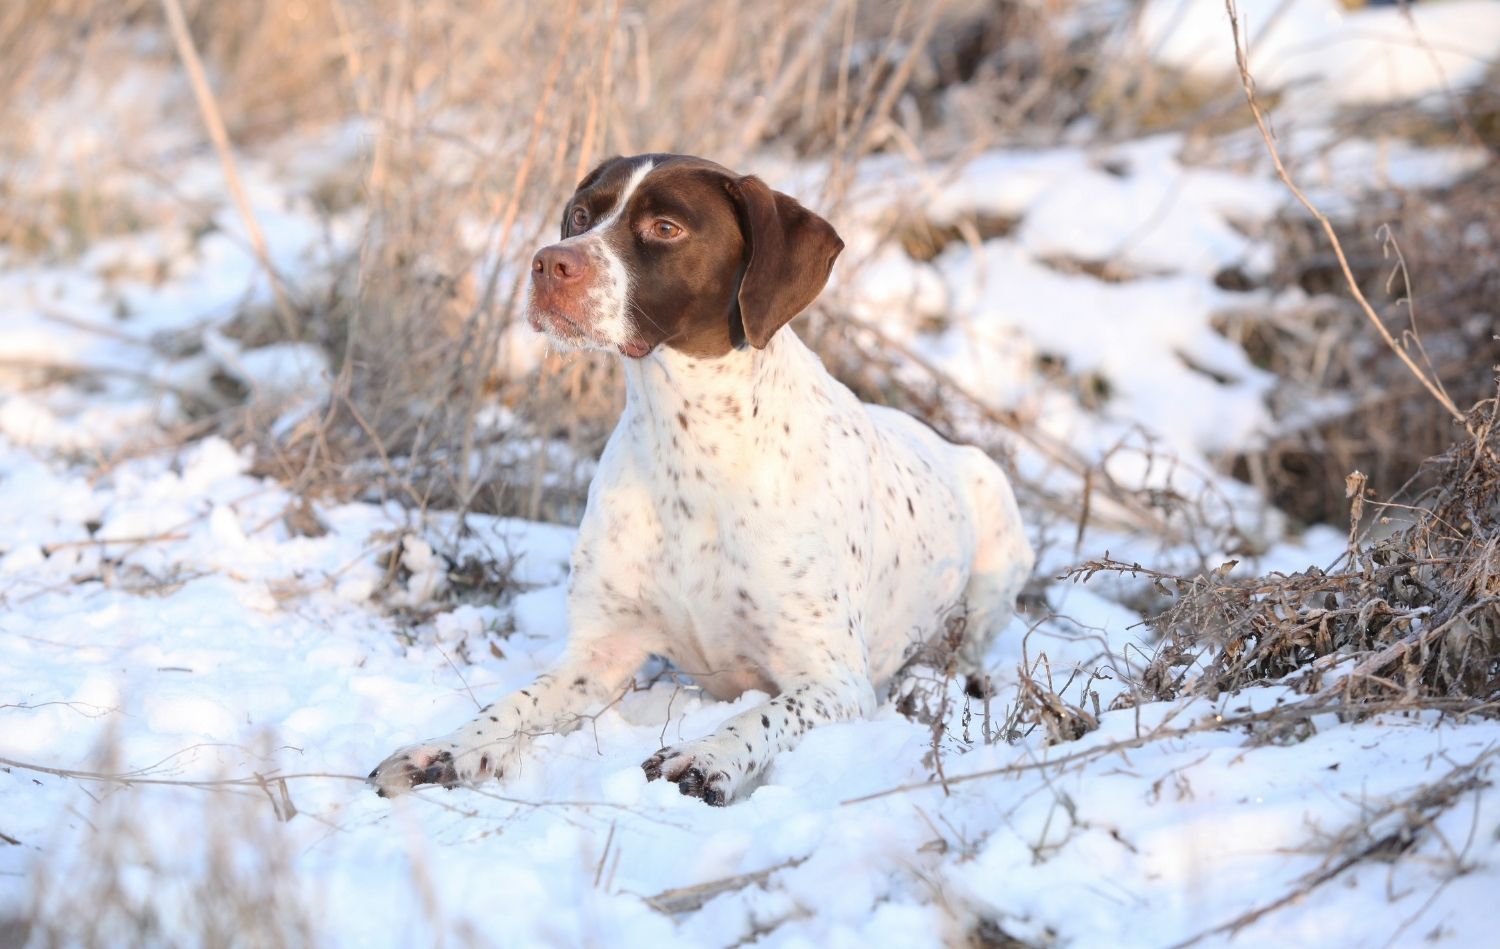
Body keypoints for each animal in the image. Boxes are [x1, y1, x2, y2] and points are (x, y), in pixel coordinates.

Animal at [369, 151, 1038, 803]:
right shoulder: (598, 656)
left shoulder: (834, 682)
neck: (688, 445)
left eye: (666, 228)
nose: (548, 263)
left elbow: (759, 716)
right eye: (582, 215)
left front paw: (706, 756)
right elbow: (510, 706)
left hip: (994, 545)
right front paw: (446, 748)